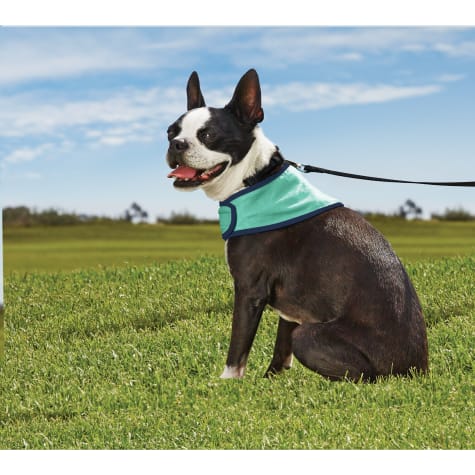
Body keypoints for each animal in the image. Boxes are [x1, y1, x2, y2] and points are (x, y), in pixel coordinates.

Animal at [165, 69, 430, 384]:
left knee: (363, 376)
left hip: (311, 336)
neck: (254, 178)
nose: (177, 144)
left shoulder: (249, 290)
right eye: (170, 132)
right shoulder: (292, 304)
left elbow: (238, 348)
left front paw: (226, 384)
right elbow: (281, 348)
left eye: (208, 135)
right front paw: (270, 381)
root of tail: (414, 371)